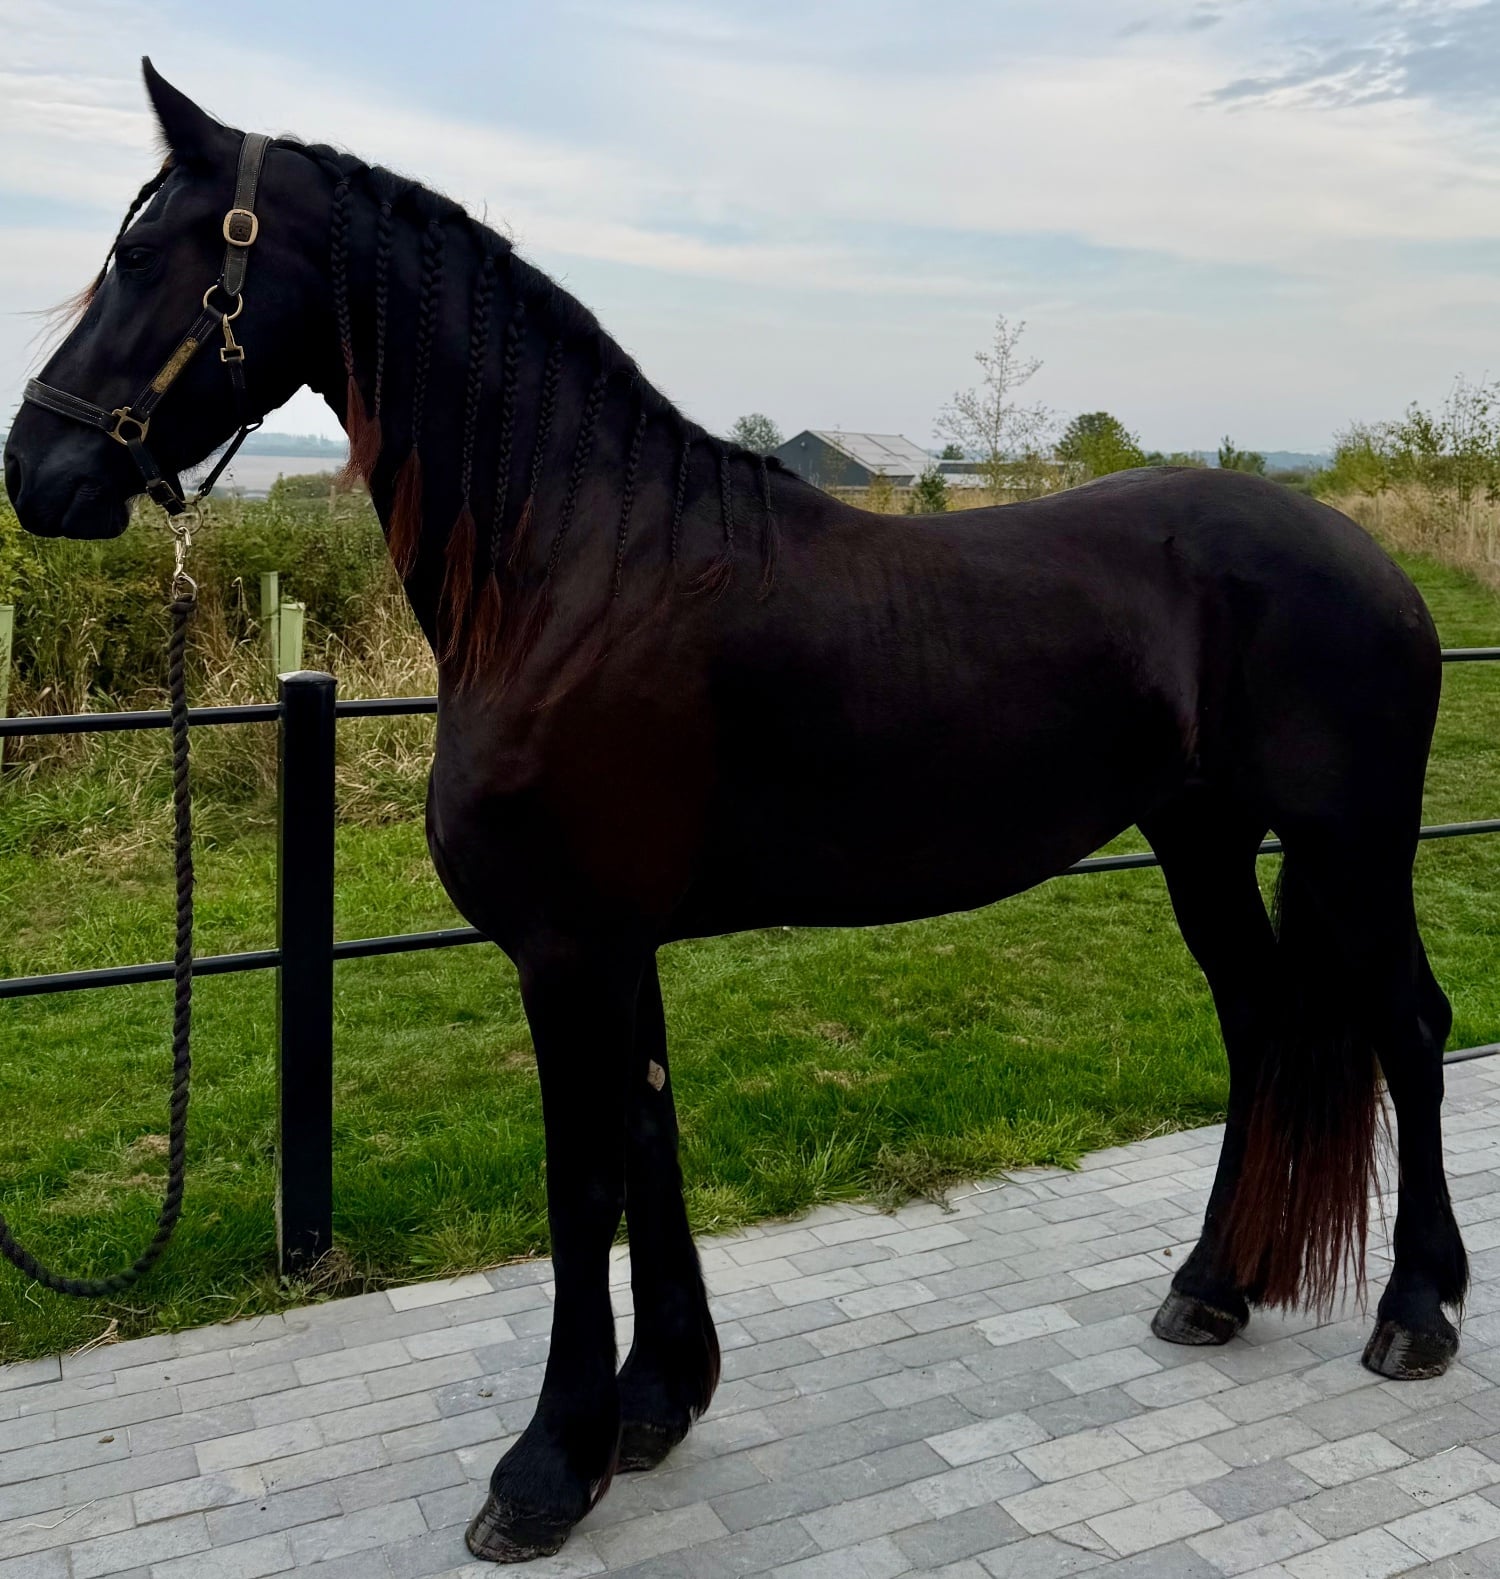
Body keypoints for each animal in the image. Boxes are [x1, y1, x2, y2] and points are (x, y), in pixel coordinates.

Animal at [3, 61, 1468, 1564]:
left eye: (143, 259)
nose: (36, 470)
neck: (570, 568)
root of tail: (1373, 562)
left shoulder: (568, 949)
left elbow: (583, 1179)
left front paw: (547, 1467)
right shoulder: (616, 945)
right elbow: (650, 1139)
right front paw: (656, 1402)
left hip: (1353, 846)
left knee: (1411, 1026)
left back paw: (1416, 1313)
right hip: (1206, 843)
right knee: (1264, 1023)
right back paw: (1215, 1286)